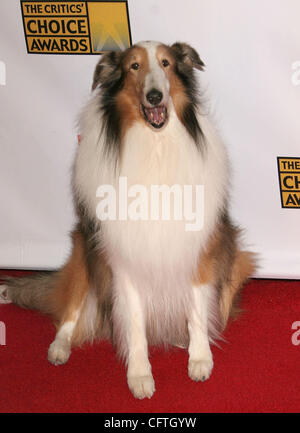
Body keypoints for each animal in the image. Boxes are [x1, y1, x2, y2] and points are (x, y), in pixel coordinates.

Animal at [0, 41, 254, 398]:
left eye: (166, 63)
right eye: (133, 67)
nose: (154, 96)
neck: (155, 145)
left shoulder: (198, 249)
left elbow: (197, 309)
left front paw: (200, 358)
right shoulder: (124, 260)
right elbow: (134, 324)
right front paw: (139, 374)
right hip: (85, 253)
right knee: (69, 313)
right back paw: (59, 348)